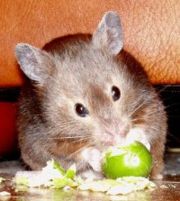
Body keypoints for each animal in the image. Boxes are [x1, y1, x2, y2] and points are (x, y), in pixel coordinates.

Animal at [14, 11, 167, 179]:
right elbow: (77, 152)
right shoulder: (47, 140)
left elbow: (145, 127)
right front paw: (98, 159)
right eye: (79, 109)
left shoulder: (149, 103)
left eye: (116, 92)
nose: (118, 136)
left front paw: (135, 138)